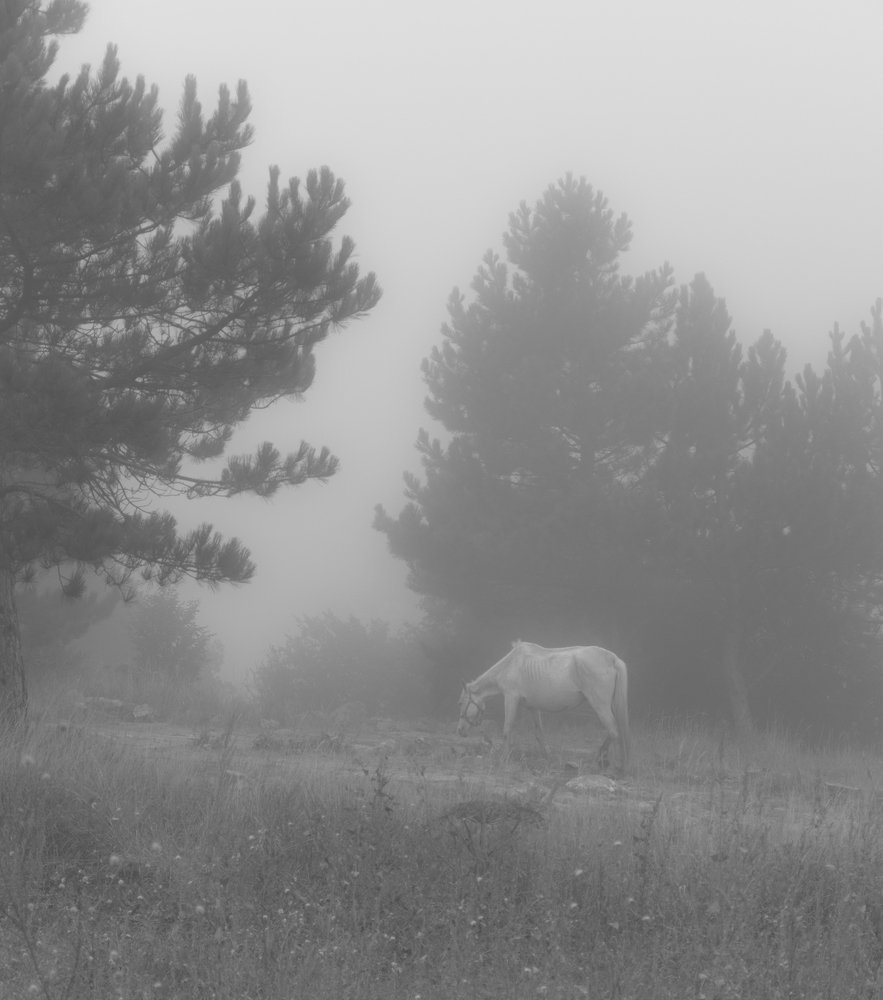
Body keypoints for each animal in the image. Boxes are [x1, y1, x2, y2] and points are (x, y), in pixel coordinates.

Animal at [457, 640, 630, 771]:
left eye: (461, 703)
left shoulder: (511, 699)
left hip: (600, 705)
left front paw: (503, 759)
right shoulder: (533, 707)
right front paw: (548, 757)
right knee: (615, 731)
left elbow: (507, 730)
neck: (511, 665)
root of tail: (613, 659)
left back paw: (612, 765)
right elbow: (539, 734)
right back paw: (605, 759)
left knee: (614, 731)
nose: (460, 731)